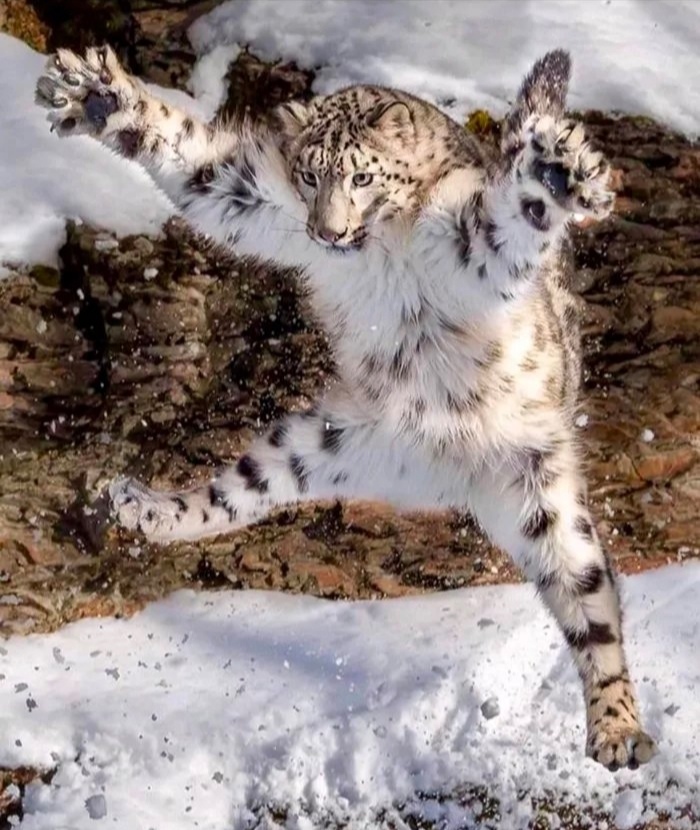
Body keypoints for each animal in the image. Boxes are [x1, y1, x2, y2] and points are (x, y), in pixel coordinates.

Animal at [35, 43, 657, 770]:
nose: (327, 233)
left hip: (543, 491)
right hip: (322, 441)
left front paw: (557, 172)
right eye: (310, 175)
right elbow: (196, 162)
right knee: (231, 497)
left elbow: (510, 216)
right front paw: (98, 96)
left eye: (362, 175)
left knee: (590, 605)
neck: (380, 250)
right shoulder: (255, 198)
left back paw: (618, 731)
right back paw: (143, 508)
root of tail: (448, 479)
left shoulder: (472, 242)